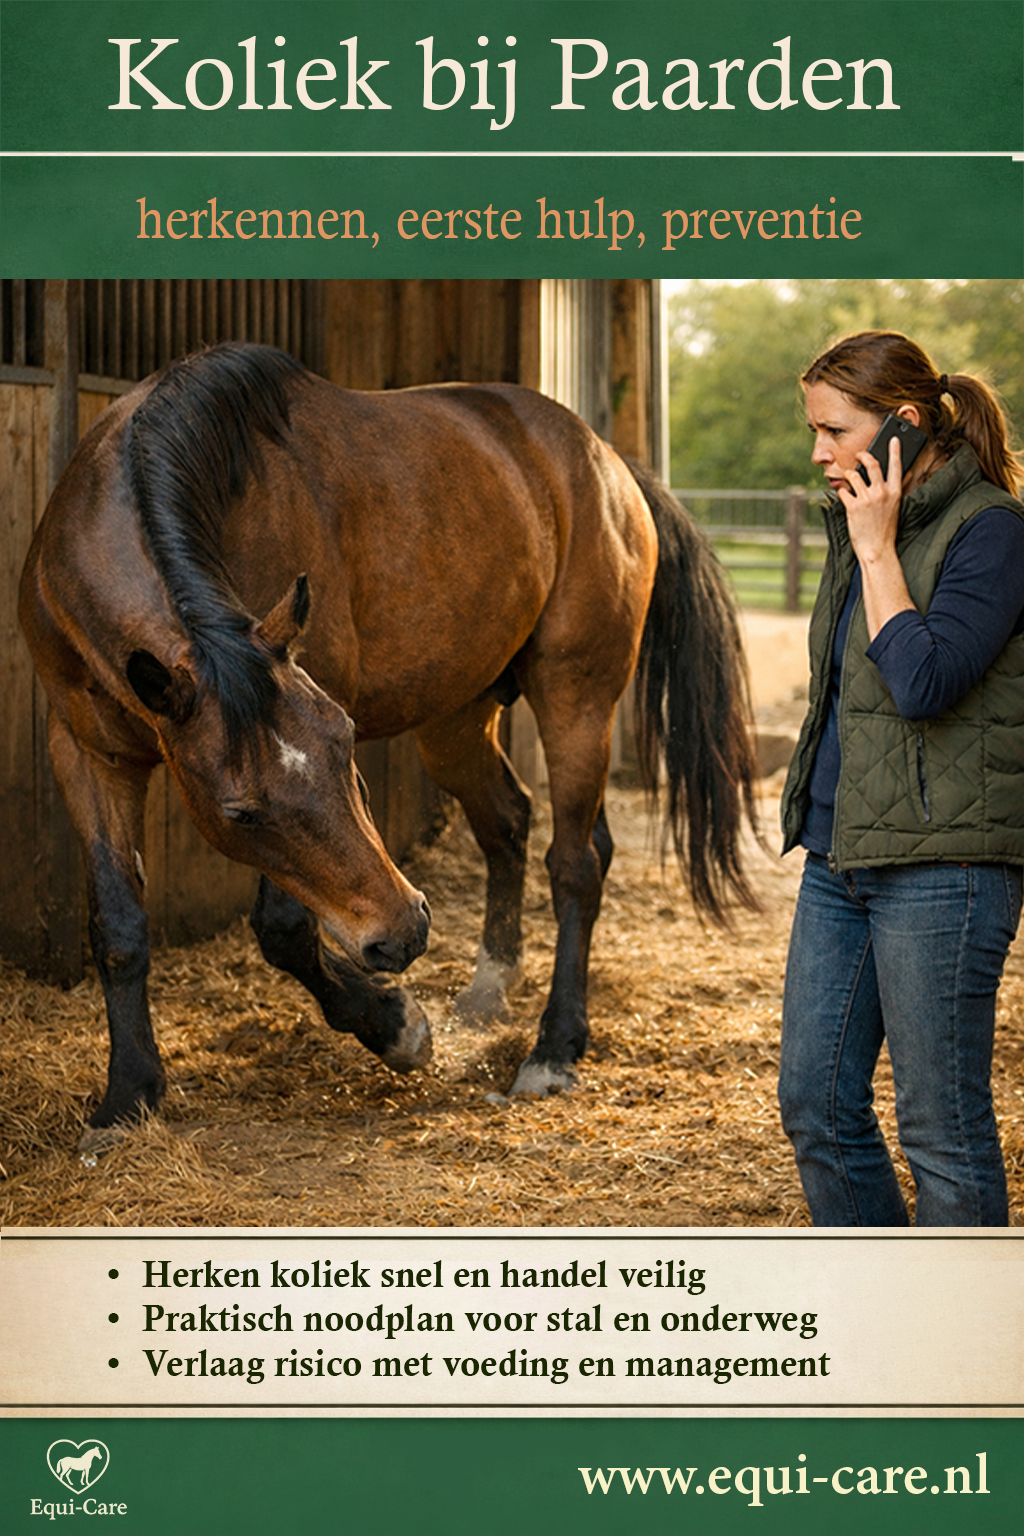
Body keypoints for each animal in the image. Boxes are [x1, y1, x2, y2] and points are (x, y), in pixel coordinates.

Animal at [19, 342, 757, 1132]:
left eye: (347, 743)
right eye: (239, 813)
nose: (405, 932)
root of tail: (609, 462)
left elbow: (283, 927)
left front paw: (397, 1026)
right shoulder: (87, 754)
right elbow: (118, 923)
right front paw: (128, 1094)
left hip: (577, 696)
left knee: (575, 863)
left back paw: (553, 1048)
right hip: (456, 717)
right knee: (509, 822)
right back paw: (488, 992)